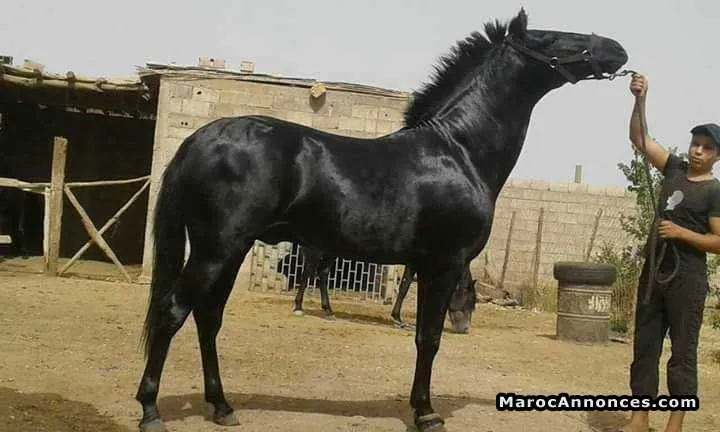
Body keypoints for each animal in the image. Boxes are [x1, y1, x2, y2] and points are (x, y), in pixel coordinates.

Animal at [282, 244, 478, 333]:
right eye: (470, 302)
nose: (465, 329)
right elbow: (405, 286)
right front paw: (398, 319)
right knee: (308, 271)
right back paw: (298, 307)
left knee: (322, 272)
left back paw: (328, 310)